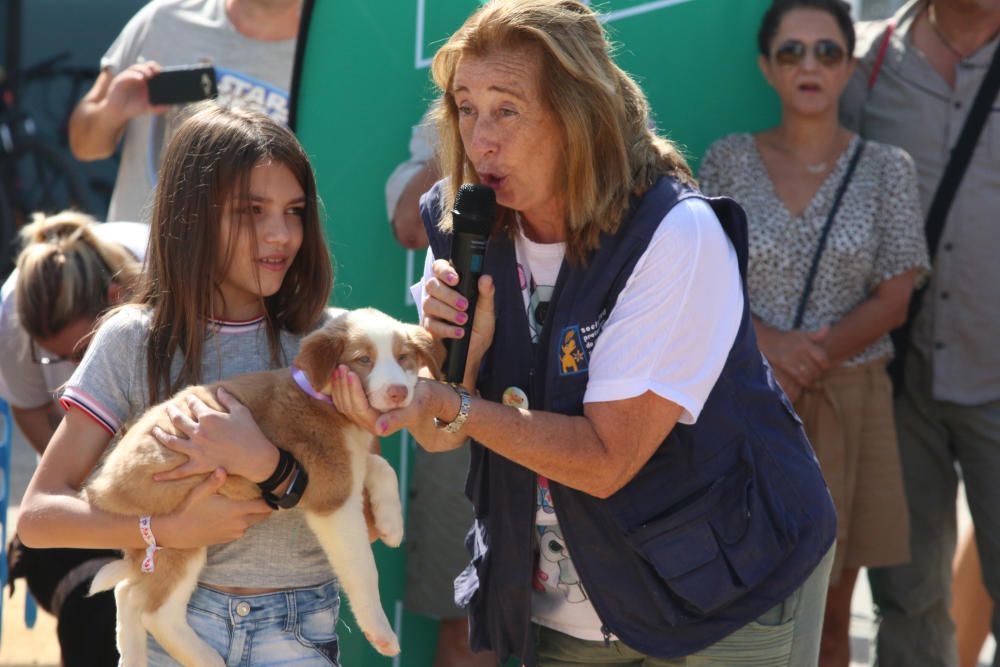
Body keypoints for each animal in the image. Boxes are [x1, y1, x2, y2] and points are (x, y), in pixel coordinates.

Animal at [84, 310, 444, 667]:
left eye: (404, 357)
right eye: (363, 359)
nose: (398, 392)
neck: (322, 398)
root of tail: (100, 487)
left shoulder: (343, 470)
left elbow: (382, 467)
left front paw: (391, 525)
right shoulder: (333, 497)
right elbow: (364, 569)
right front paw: (380, 632)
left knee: (127, 593)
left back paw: (132, 657)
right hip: (181, 535)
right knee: (155, 611)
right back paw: (208, 658)